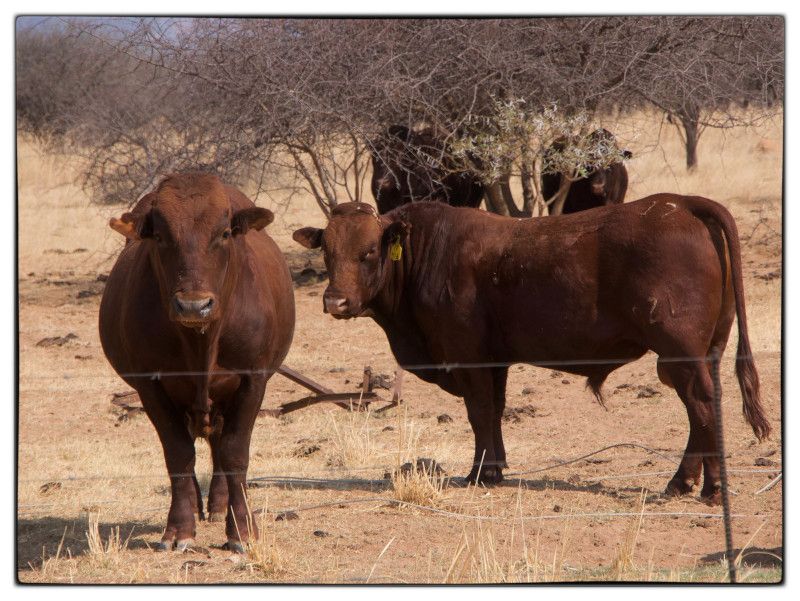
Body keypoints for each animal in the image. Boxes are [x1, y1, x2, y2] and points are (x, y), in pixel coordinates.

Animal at [100, 171, 294, 552]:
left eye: (223, 234)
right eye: (160, 236)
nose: (194, 304)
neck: (201, 342)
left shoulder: (252, 380)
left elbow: (234, 453)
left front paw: (242, 530)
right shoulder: (150, 386)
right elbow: (178, 453)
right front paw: (179, 529)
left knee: (219, 444)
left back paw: (219, 506)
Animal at [292, 197, 768, 502]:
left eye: (370, 251)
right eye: (328, 251)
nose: (335, 301)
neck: (428, 253)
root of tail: (682, 204)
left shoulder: (468, 356)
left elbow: (480, 411)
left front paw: (481, 473)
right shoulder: (495, 358)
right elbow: (495, 412)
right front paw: (496, 468)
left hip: (679, 352)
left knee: (702, 405)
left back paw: (707, 487)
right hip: (706, 350)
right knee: (703, 409)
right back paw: (688, 482)